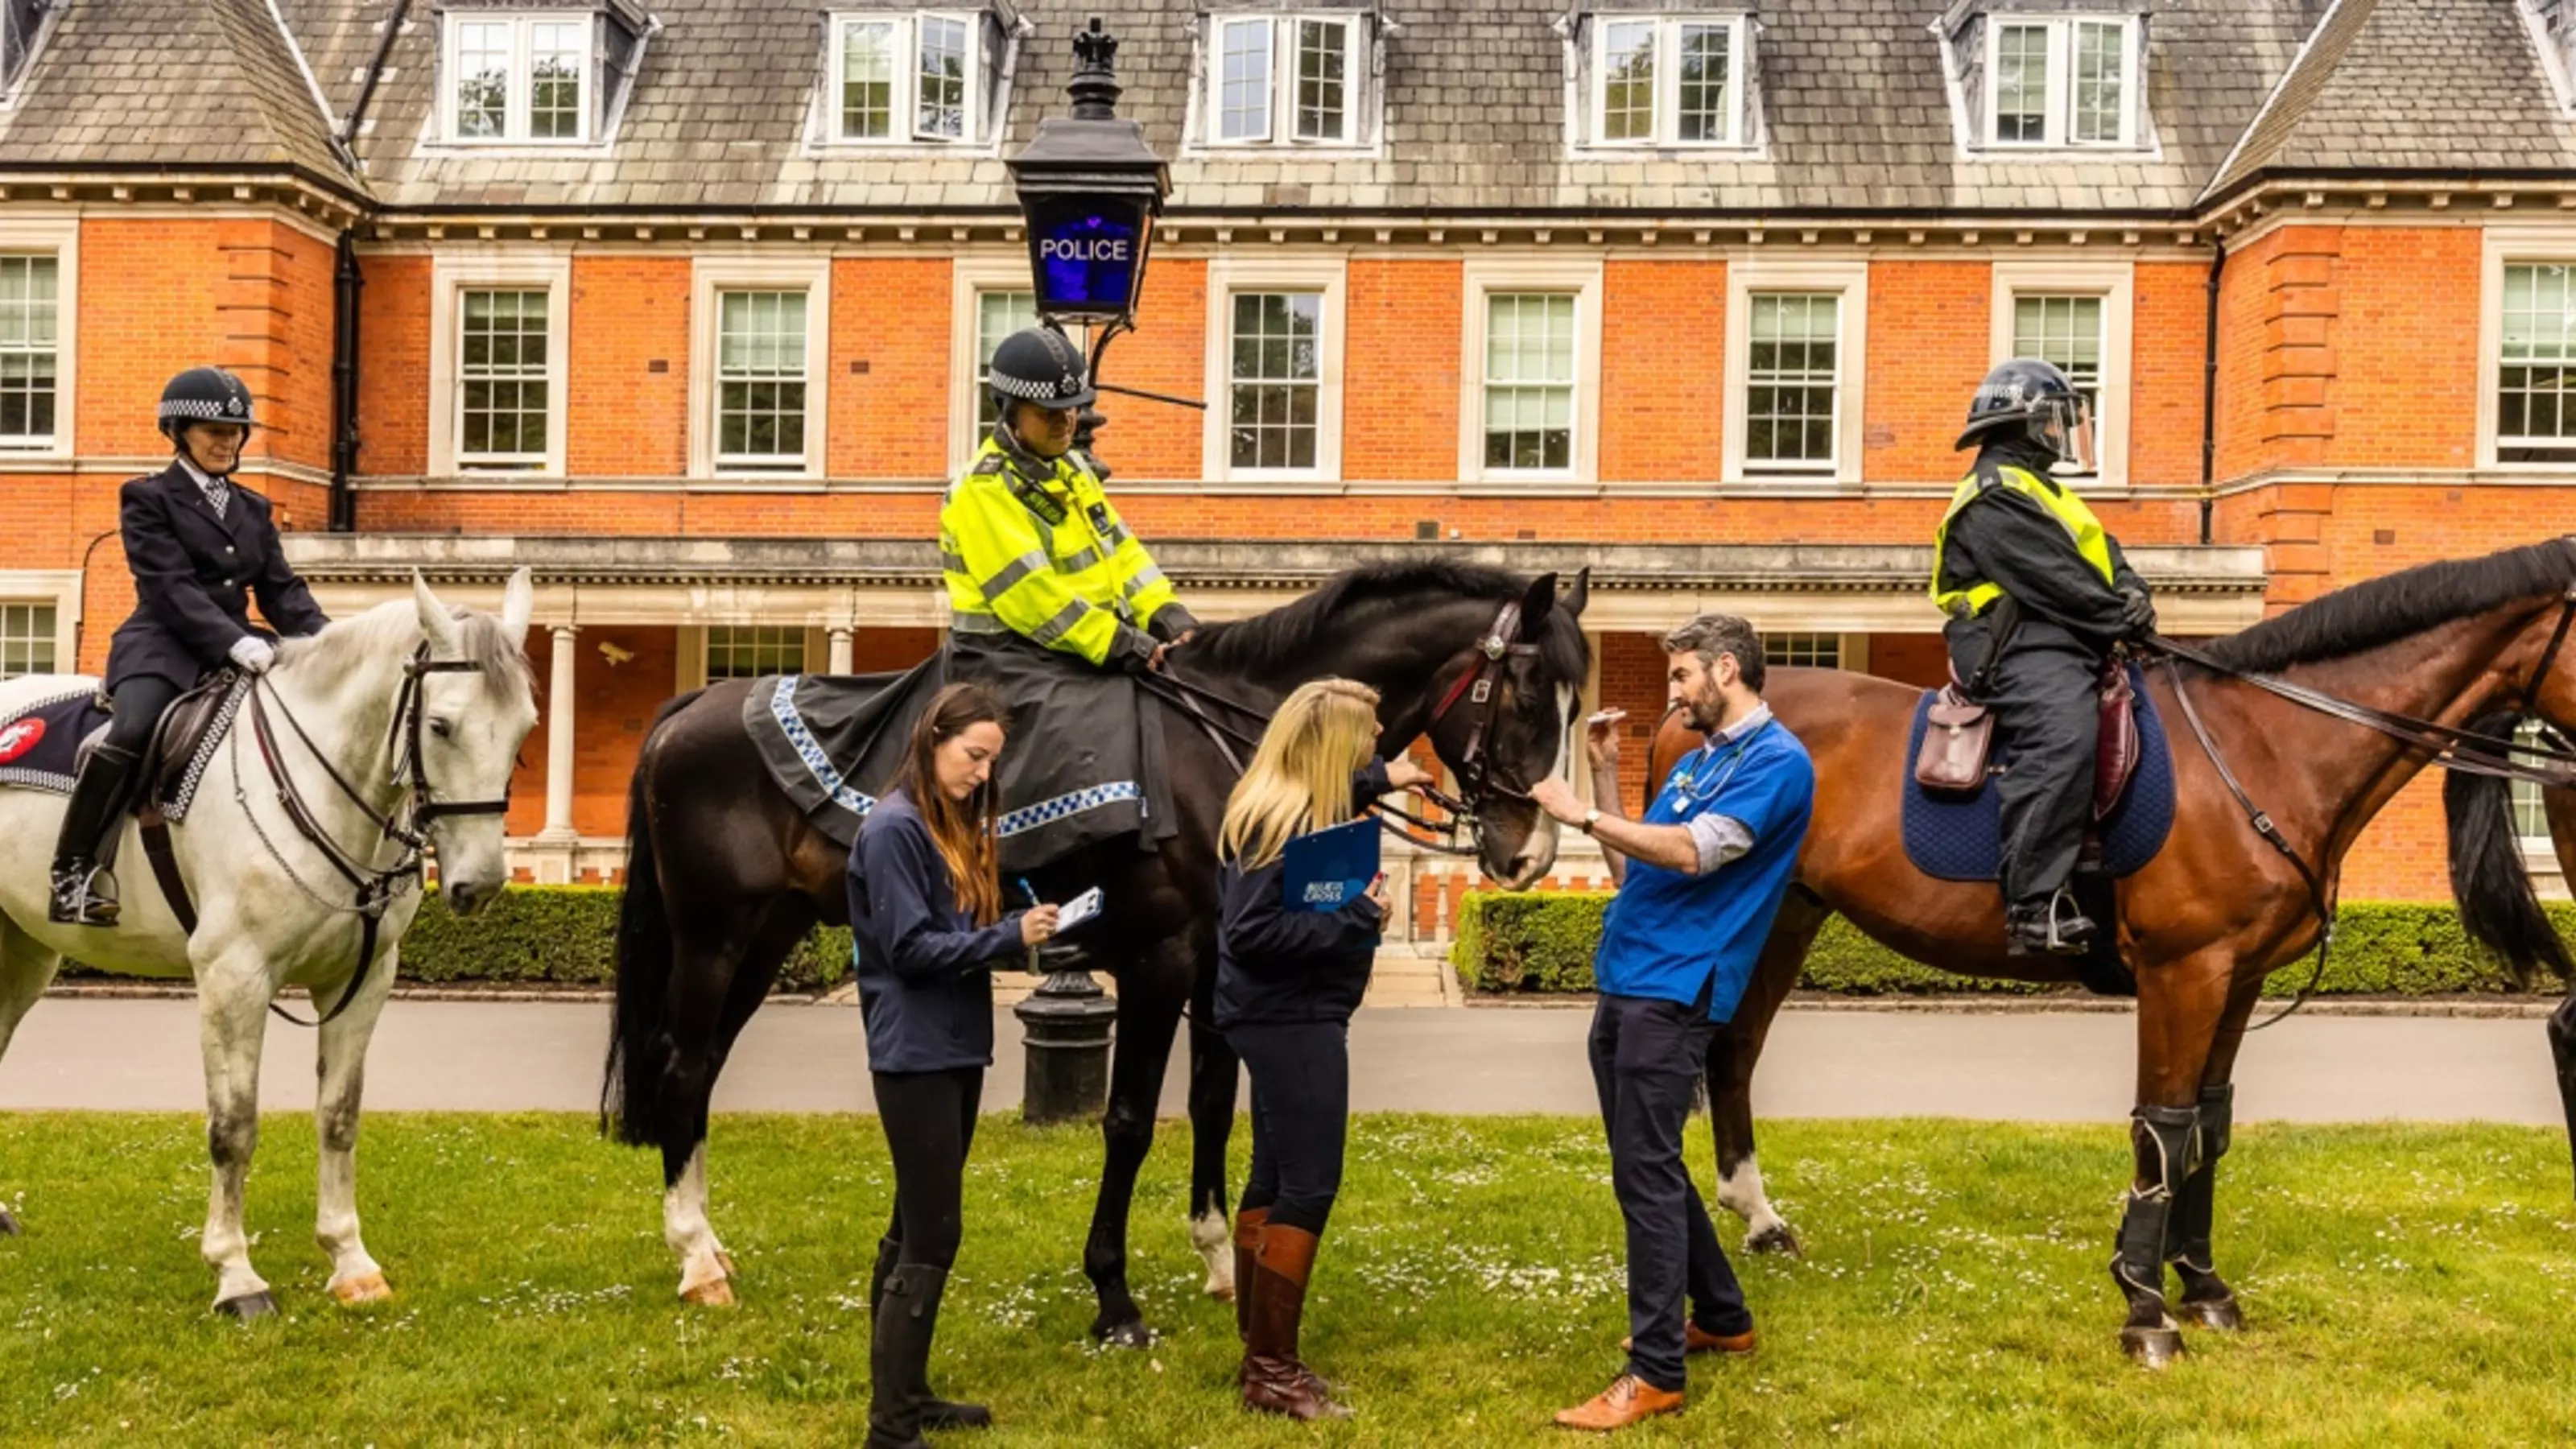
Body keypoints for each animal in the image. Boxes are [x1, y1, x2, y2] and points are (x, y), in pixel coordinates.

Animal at [0, 569, 535, 1315]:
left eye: (525, 729)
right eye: (440, 725)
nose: (478, 884)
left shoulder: (363, 980)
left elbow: (339, 1116)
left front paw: (350, 1261)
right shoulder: (234, 977)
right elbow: (234, 1127)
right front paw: (236, 1274)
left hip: (24, 954)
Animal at [597, 559, 1587, 1340]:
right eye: (1529, 693)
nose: (1531, 855)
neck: (1242, 749)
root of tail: (693, 705)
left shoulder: (1219, 968)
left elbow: (1212, 1108)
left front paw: (1219, 1261)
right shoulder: (1157, 962)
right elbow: (1129, 1122)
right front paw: (1113, 1295)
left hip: (768, 935)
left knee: (703, 1069)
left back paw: (708, 1243)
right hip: (715, 934)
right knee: (681, 1066)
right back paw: (697, 1258)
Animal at [1649, 539, 2576, 1361]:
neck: (2264, 742)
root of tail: (1692, 716)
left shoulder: (2235, 980)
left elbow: (2207, 1127)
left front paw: (2202, 1288)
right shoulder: (2183, 972)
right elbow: (2161, 1132)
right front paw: (2145, 1308)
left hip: (1788, 914)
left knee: (1734, 1051)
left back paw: (1759, 1219)